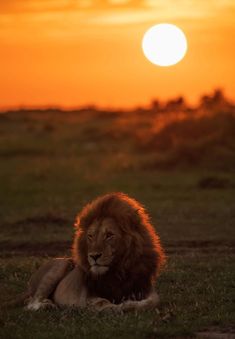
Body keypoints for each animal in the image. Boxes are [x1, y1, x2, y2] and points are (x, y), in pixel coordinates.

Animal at [3, 193, 166, 312]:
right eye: (90, 236)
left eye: (109, 235)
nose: (94, 256)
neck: (119, 269)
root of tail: (29, 286)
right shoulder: (88, 298)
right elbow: (105, 305)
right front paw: (122, 306)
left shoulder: (145, 287)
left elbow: (155, 301)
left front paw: (131, 303)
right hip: (61, 264)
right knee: (30, 303)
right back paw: (47, 305)